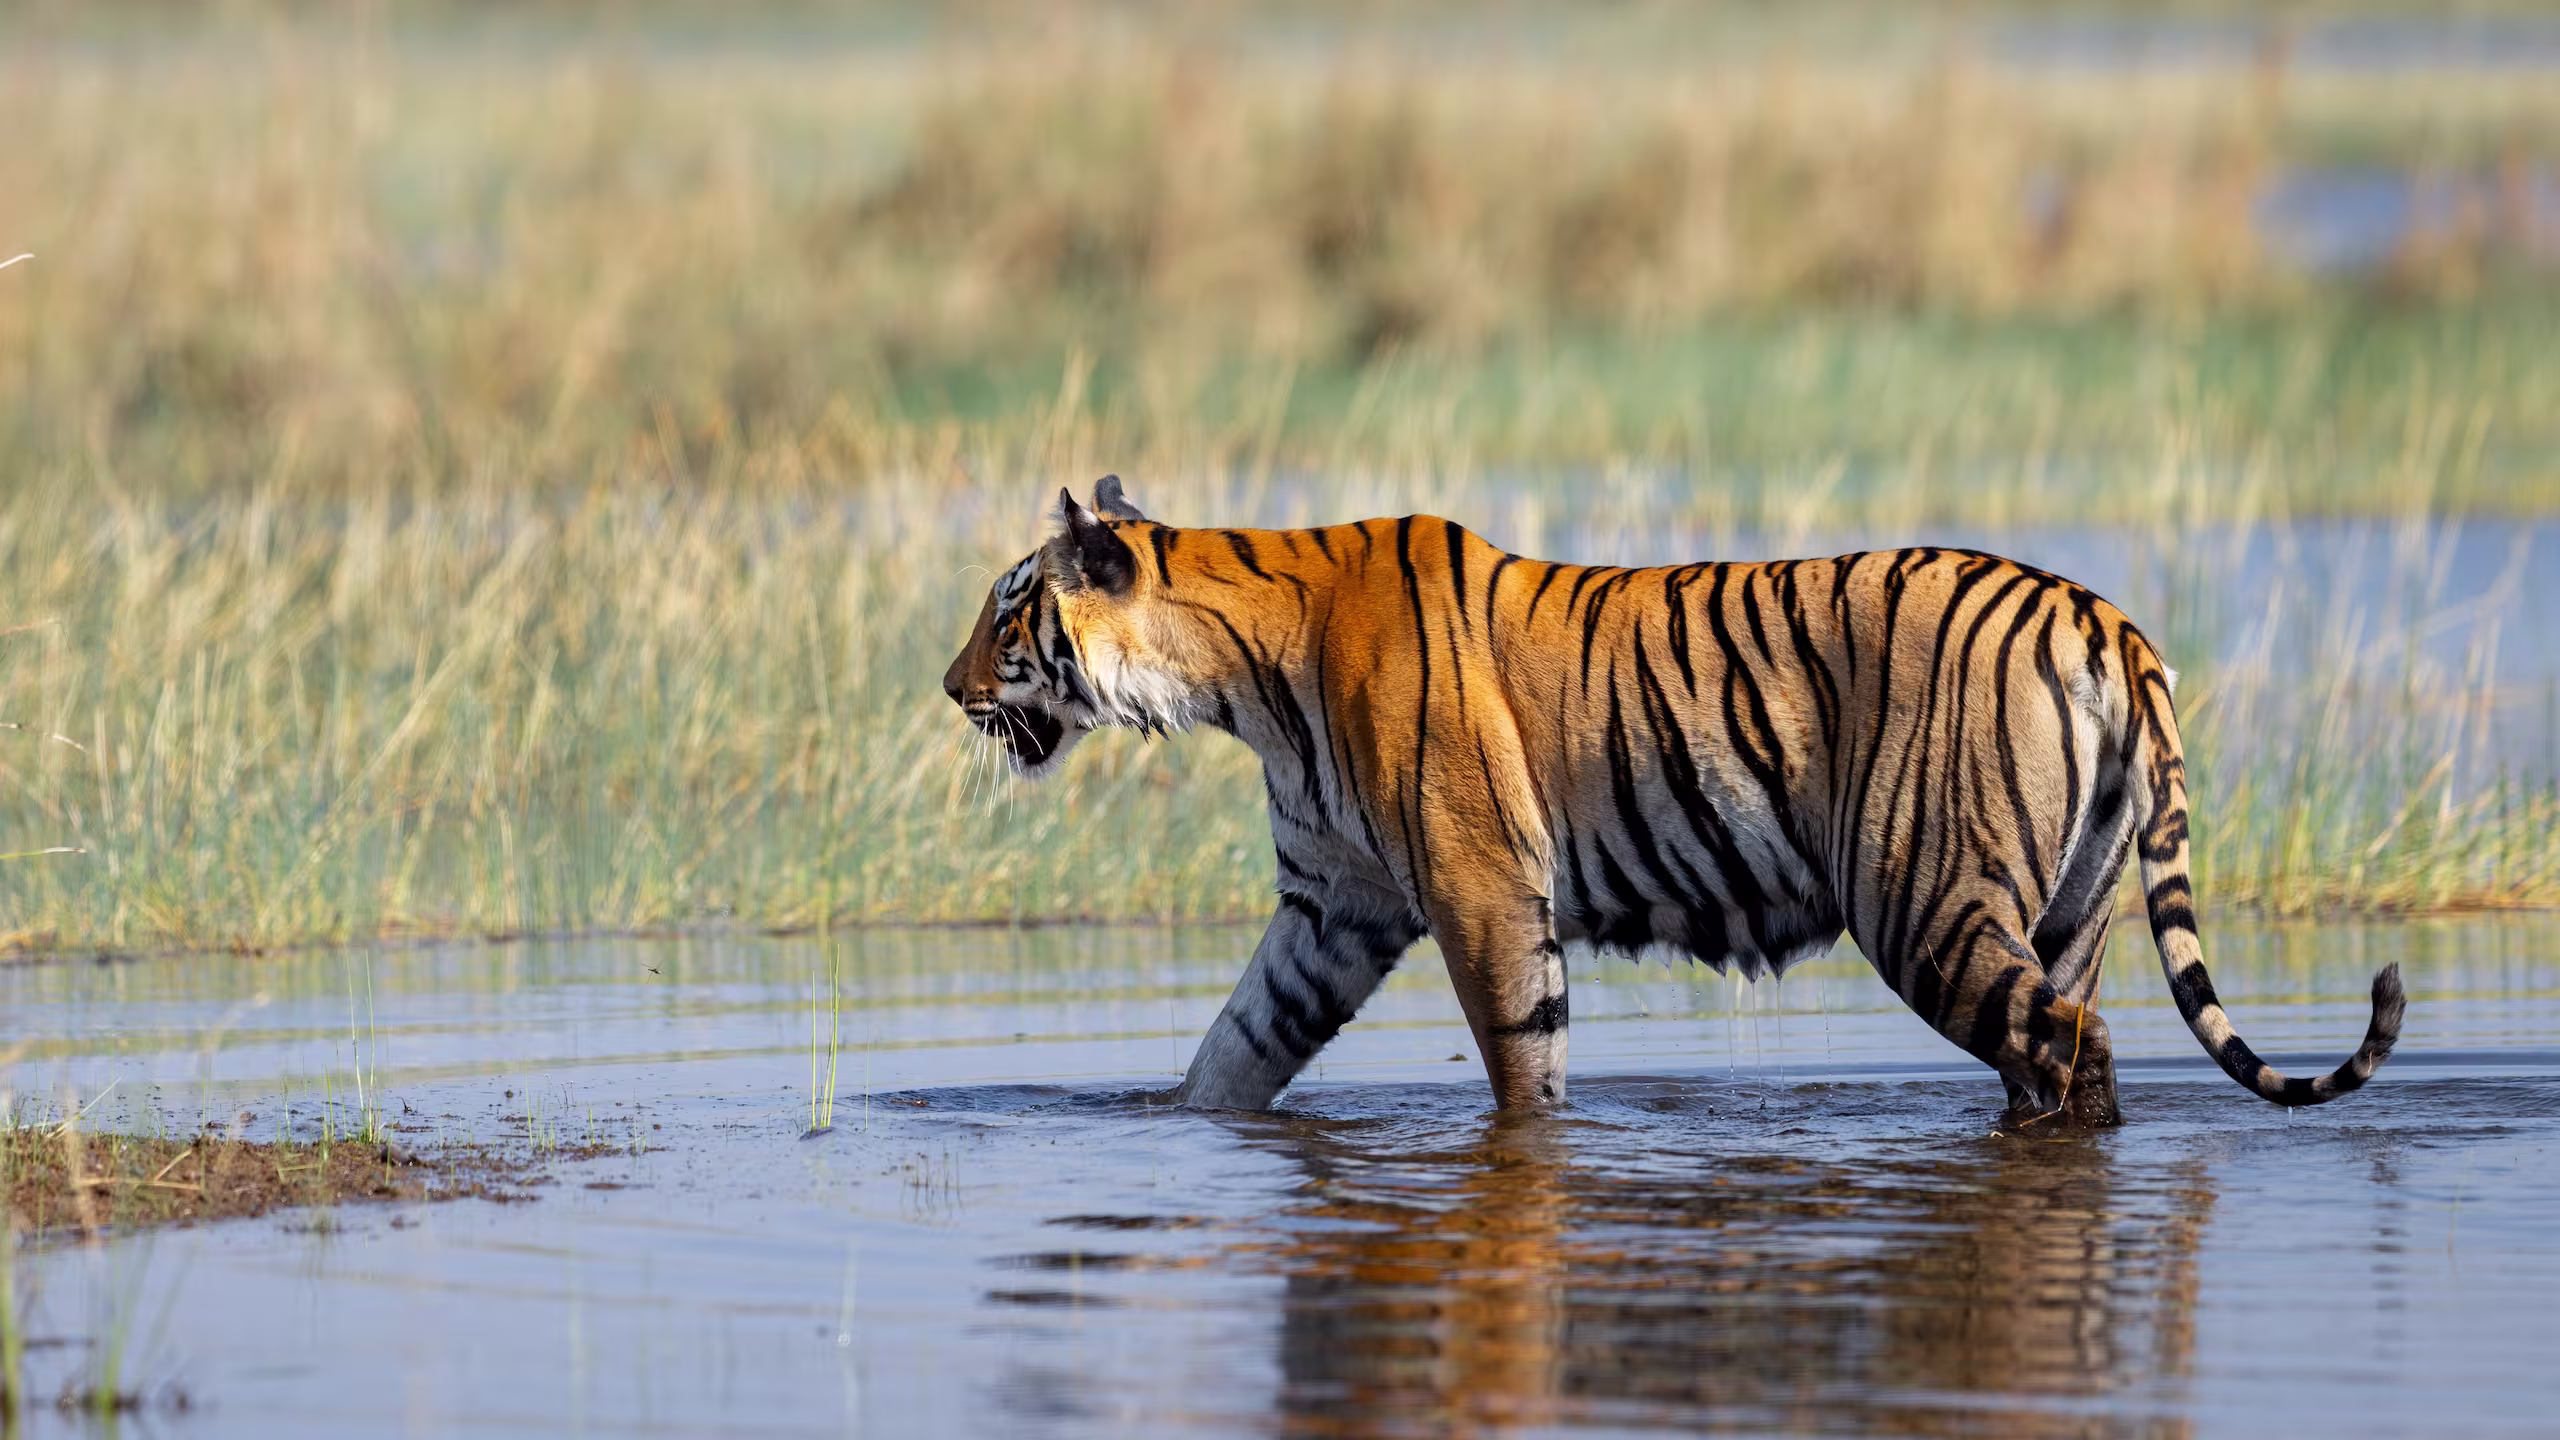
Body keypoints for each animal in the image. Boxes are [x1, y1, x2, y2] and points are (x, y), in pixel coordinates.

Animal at [942, 477, 2405, 1124]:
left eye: (1008, 615)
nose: (949, 687)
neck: (1237, 681)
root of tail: (2107, 618)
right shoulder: (1329, 908)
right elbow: (1233, 1049)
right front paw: (1175, 1127)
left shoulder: (1479, 890)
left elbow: (1523, 1068)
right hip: (2075, 908)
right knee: (2055, 1039)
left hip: (1924, 896)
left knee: (2067, 1047)